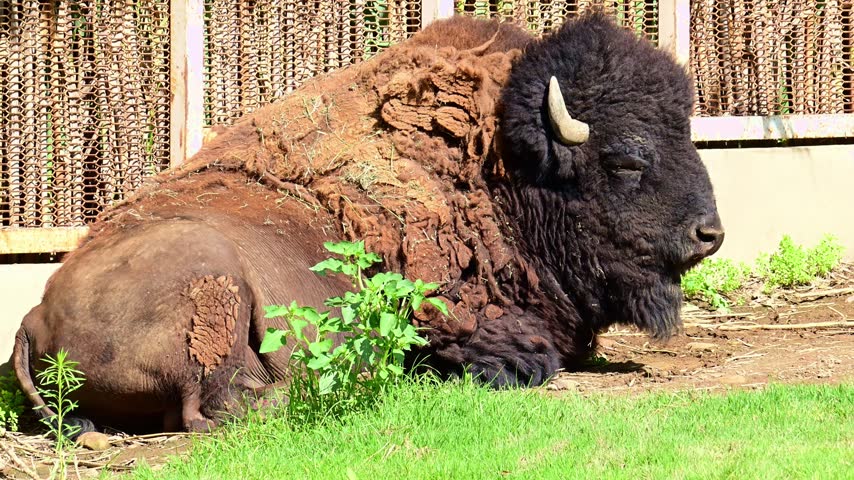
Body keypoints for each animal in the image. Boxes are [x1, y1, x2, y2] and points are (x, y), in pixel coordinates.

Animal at [13, 13, 722, 433]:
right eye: (626, 159)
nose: (709, 234)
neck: (498, 169)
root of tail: (31, 317)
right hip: (208, 277)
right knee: (219, 403)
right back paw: (324, 389)